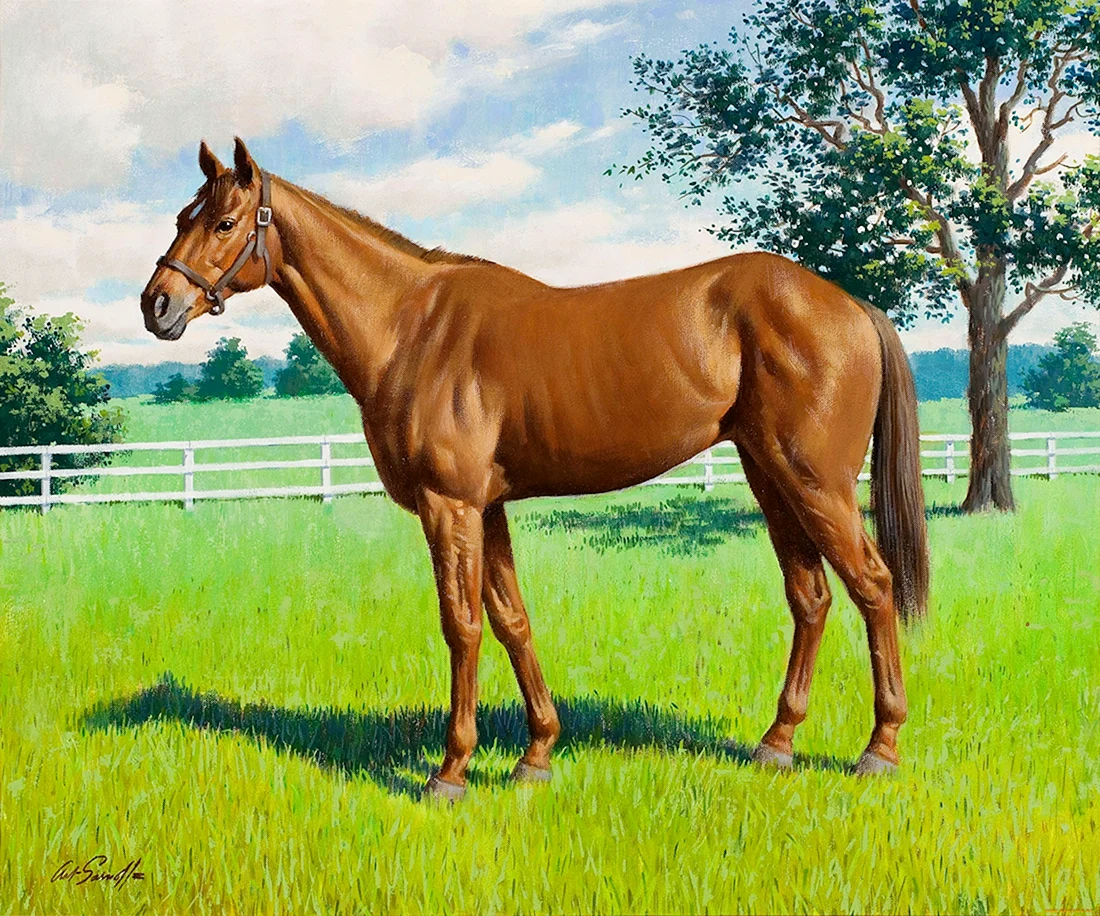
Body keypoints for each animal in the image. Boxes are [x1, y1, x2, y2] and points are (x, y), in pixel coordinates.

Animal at [141, 138, 929, 800]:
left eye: (224, 222)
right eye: (184, 215)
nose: (157, 305)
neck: (412, 328)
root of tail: (850, 304)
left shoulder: (449, 505)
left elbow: (461, 625)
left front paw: (452, 770)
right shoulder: (485, 508)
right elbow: (512, 619)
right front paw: (537, 755)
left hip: (815, 482)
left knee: (873, 586)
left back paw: (880, 747)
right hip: (773, 479)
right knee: (811, 597)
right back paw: (777, 742)